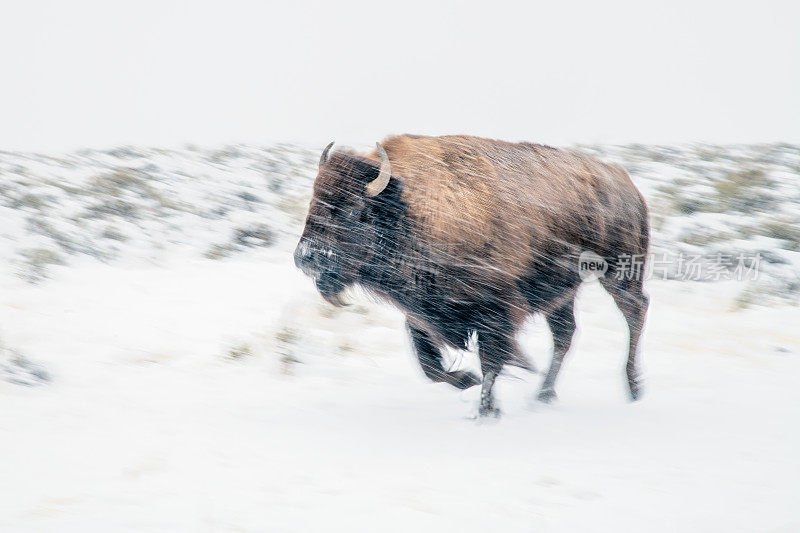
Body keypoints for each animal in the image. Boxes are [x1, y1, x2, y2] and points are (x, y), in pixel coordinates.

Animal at [294, 133, 648, 416]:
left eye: (354, 209)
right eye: (313, 201)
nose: (305, 257)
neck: (411, 210)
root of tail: (626, 181)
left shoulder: (496, 313)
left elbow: (491, 363)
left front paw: (487, 411)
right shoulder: (422, 313)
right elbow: (430, 365)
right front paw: (468, 380)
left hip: (619, 273)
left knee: (634, 313)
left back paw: (634, 389)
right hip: (563, 293)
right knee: (565, 334)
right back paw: (543, 396)